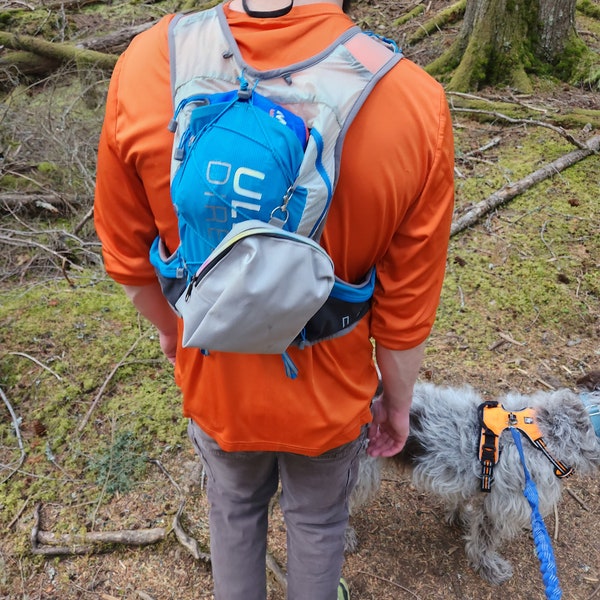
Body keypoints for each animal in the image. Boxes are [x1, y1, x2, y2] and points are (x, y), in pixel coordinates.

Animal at [346, 384, 600, 584]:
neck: (547, 434)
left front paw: (459, 516)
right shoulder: (500, 508)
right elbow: (484, 541)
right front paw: (488, 566)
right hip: (359, 473)